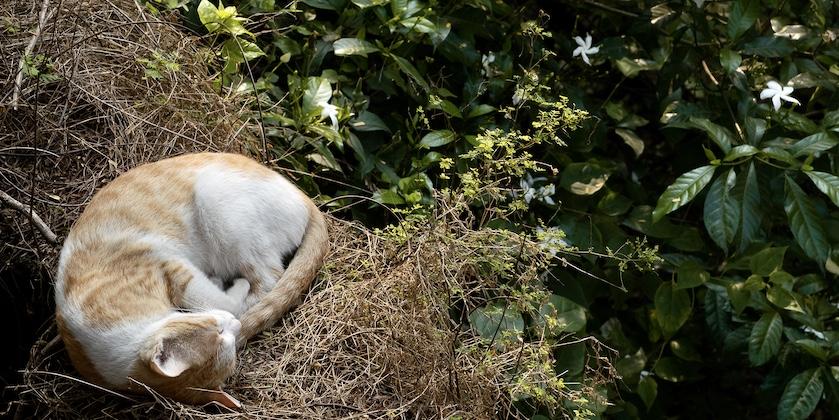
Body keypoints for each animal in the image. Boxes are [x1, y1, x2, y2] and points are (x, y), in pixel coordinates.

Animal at [54, 153, 330, 408]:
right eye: (221, 334)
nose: (236, 325)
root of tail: (306, 200)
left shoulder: (173, 265)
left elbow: (219, 299)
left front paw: (228, 293)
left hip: (221, 208)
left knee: (269, 279)